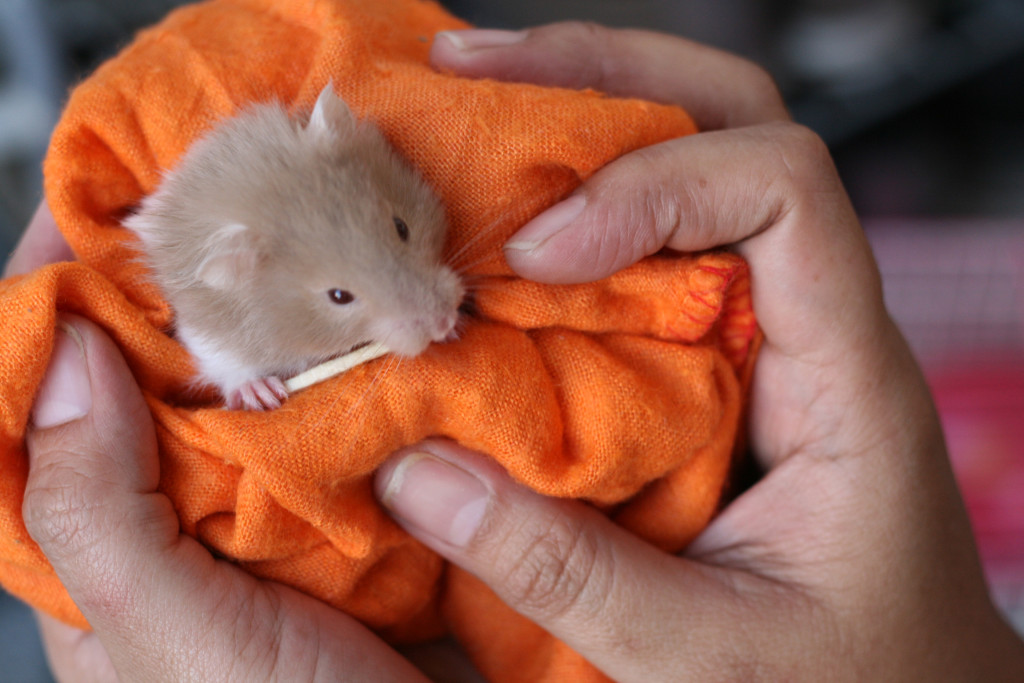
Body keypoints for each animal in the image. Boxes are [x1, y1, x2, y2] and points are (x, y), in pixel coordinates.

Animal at [124, 84, 464, 410]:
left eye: (401, 226)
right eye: (339, 296)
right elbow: (224, 361)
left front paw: (454, 331)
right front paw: (263, 395)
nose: (443, 322)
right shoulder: (206, 330)